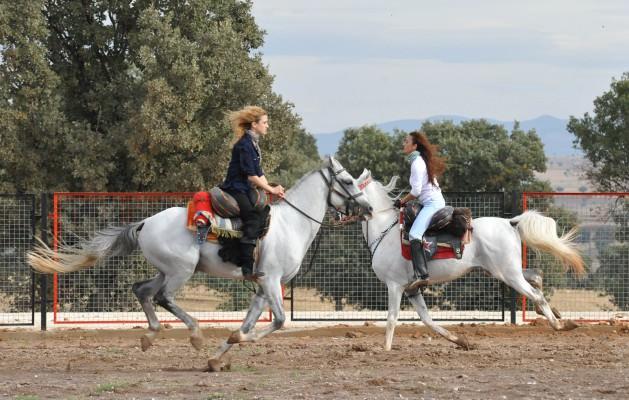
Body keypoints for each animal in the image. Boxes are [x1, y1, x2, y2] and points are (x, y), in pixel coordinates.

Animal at [27, 157, 372, 368]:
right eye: (348, 181)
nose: (368, 208)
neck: (290, 224)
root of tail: (144, 223)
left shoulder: (263, 286)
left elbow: (250, 322)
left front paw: (219, 356)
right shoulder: (272, 281)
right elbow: (278, 321)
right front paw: (233, 342)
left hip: (167, 270)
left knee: (142, 290)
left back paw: (150, 335)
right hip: (182, 270)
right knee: (163, 297)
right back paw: (194, 334)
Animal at [356, 170, 588, 352]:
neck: (385, 231)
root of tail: (510, 223)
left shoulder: (394, 286)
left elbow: (392, 317)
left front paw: (385, 349)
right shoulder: (411, 289)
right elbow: (427, 319)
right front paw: (461, 341)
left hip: (508, 274)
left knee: (536, 294)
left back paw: (560, 324)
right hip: (506, 270)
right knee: (537, 276)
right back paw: (555, 315)